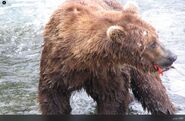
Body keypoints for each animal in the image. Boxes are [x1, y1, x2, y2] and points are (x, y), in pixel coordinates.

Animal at [38, 0, 176, 114]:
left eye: (156, 36)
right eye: (152, 44)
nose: (172, 56)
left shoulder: (107, 72)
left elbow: (113, 99)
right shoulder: (57, 66)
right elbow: (53, 98)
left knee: (152, 90)